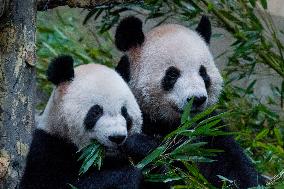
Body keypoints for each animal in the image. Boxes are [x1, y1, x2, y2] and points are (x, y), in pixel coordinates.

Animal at [19, 55, 144, 189]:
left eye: (124, 112)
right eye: (96, 112)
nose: (117, 137)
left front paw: (137, 145)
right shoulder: (48, 146)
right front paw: (127, 176)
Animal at [113, 16, 266, 189]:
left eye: (203, 72)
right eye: (172, 74)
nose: (197, 99)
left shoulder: (208, 130)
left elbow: (234, 166)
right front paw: (144, 148)